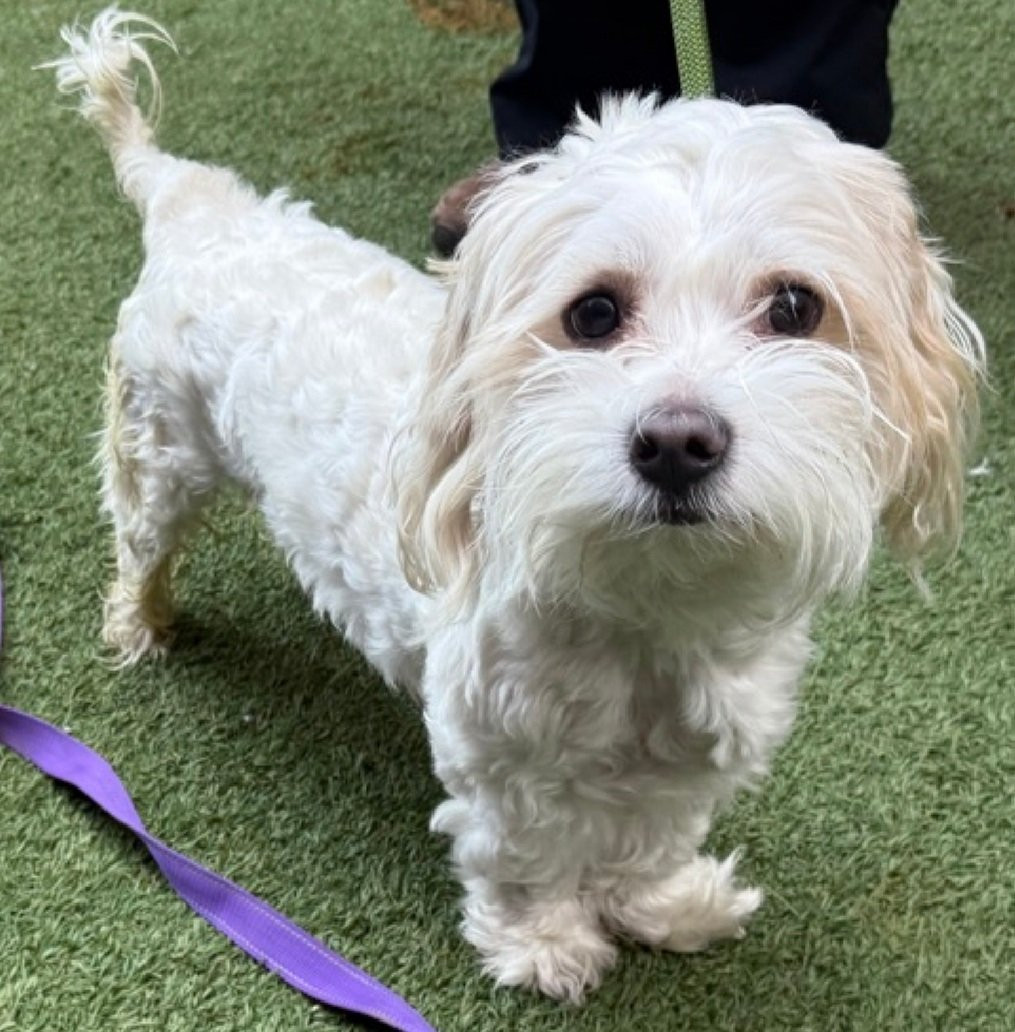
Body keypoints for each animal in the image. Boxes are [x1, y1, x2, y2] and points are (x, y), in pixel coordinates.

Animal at [49, 8, 983, 1001]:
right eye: (593, 314)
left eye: (796, 307)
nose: (676, 441)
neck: (653, 607)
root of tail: (193, 201)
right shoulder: (500, 741)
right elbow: (526, 853)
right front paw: (544, 944)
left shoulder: (696, 742)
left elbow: (653, 837)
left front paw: (661, 905)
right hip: (161, 448)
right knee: (142, 542)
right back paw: (140, 626)